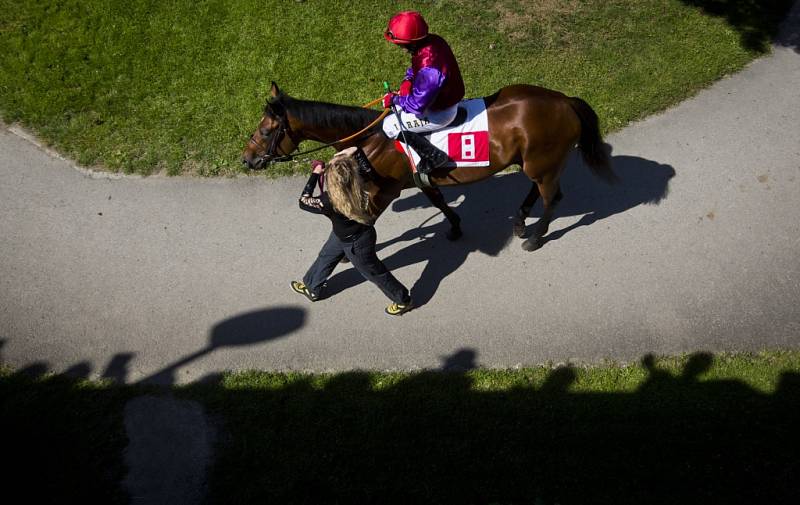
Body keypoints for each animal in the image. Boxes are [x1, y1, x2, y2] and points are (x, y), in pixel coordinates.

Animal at [241, 81, 616, 252]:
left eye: (265, 131)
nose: (247, 158)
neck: (373, 137)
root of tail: (565, 101)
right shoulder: (419, 180)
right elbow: (438, 202)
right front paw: (455, 227)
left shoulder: (384, 191)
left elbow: (362, 222)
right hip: (537, 163)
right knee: (542, 192)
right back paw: (521, 221)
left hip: (542, 163)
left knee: (552, 198)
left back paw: (535, 237)